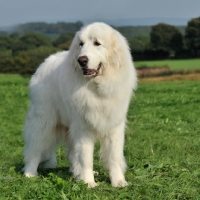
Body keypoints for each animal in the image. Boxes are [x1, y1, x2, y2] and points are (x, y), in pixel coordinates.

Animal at [22, 22, 138, 188]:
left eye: (97, 43)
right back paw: (30, 173)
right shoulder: (83, 127)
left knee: (71, 153)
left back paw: (76, 173)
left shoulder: (114, 126)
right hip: (43, 122)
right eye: (81, 44)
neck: (96, 87)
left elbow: (114, 156)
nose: (81, 60)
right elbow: (85, 158)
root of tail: (46, 61)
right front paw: (89, 182)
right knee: (35, 147)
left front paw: (118, 181)